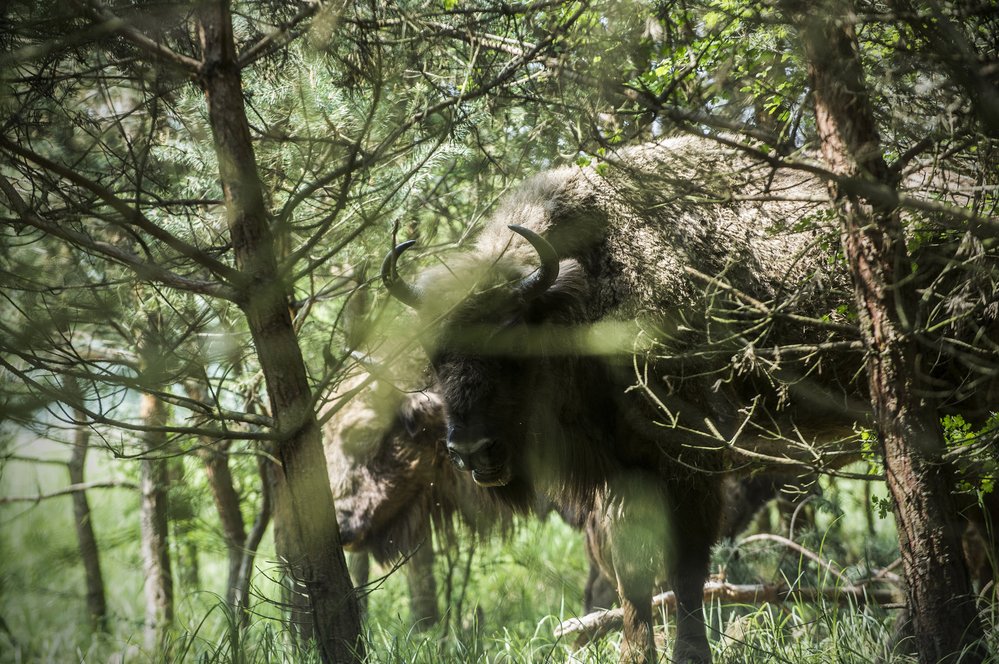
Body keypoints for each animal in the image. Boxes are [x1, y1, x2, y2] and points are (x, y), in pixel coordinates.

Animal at [378, 134, 864, 660]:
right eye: (433, 351)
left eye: (513, 340)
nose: (470, 450)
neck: (589, 292)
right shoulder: (625, 474)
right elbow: (630, 574)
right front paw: (636, 652)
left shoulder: (691, 465)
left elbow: (686, 568)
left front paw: (690, 653)